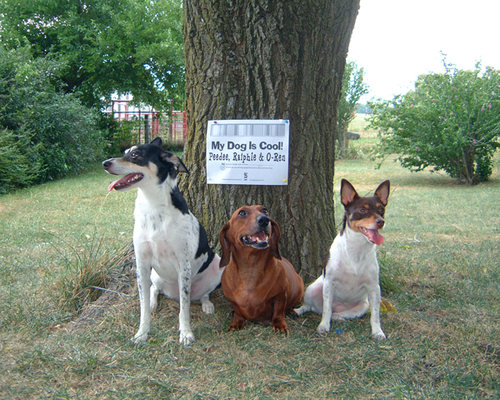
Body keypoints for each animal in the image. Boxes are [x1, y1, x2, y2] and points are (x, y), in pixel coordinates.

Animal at [102, 138, 222, 344]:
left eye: (135, 155)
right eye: (125, 152)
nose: (105, 163)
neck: (152, 207)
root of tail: (172, 292)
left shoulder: (183, 265)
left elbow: (184, 309)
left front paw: (185, 333)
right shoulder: (142, 264)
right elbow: (142, 306)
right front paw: (142, 332)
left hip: (217, 264)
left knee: (203, 295)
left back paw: (206, 304)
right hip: (155, 275)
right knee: (155, 289)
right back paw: (153, 302)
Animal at [292, 180, 390, 340]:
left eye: (381, 209)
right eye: (362, 210)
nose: (381, 221)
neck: (356, 250)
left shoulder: (374, 288)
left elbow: (375, 314)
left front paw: (377, 331)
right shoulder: (329, 282)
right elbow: (327, 309)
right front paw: (324, 326)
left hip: (363, 305)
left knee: (338, 313)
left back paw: (338, 316)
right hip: (313, 289)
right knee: (311, 306)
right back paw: (299, 311)